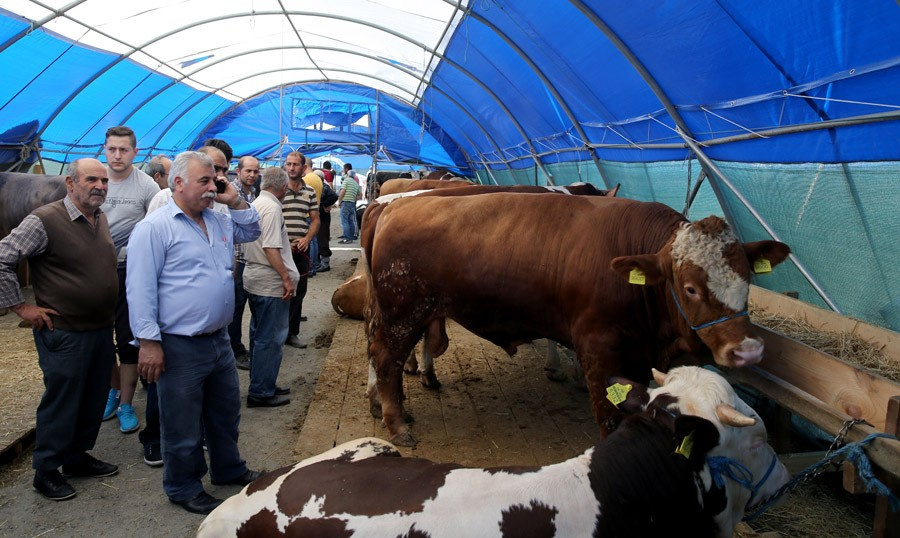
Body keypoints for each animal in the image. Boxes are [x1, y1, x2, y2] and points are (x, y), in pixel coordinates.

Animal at [362, 194, 792, 444]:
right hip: (403, 314)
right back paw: (397, 424)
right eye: (689, 288)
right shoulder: (598, 351)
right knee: (386, 359)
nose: (747, 351)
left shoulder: (642, 355)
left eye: (748, 277)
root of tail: (395, 204)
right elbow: (608, 413)